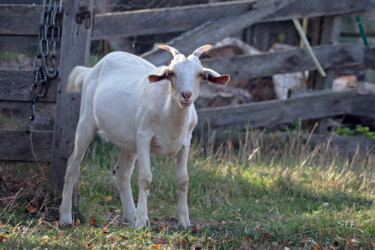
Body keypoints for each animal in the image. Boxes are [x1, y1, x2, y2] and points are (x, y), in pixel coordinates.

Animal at [59, 45, 231, 229]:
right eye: (171, 73)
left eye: (200, 74)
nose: (186, 95)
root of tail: (90, 70)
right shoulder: (144, 138)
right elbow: (145, 178)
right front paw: (142, 220)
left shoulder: (185, 142)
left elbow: (183, 180)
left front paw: (184, 221)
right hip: (86, 122)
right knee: (72, 164)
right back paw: (65, 216)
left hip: (129, 142)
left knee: (121, 173)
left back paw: (130, 216)